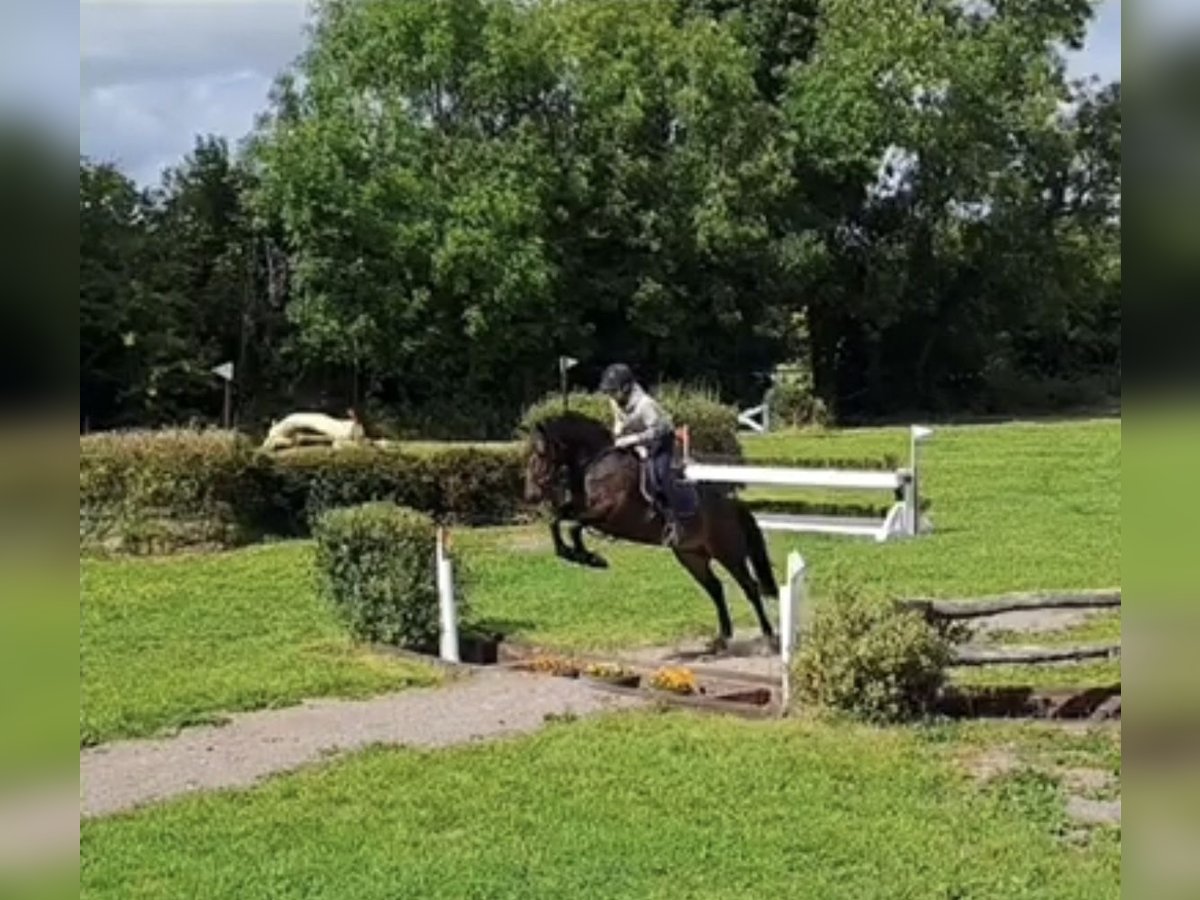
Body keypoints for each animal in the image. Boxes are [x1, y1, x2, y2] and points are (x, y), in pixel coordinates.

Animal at [525, 412, 777, 652]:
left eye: (541, 454)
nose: (530, 495)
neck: (596, 464)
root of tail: (733, 505)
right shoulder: (579, 509)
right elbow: (556, 520)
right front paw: (572, 554)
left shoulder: (606, 514)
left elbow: (572, 527)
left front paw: (591, 558)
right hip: (691, 556)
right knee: (715, 588)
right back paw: (722, 639)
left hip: (729, 555)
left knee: (750, 587)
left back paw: (769, 637)